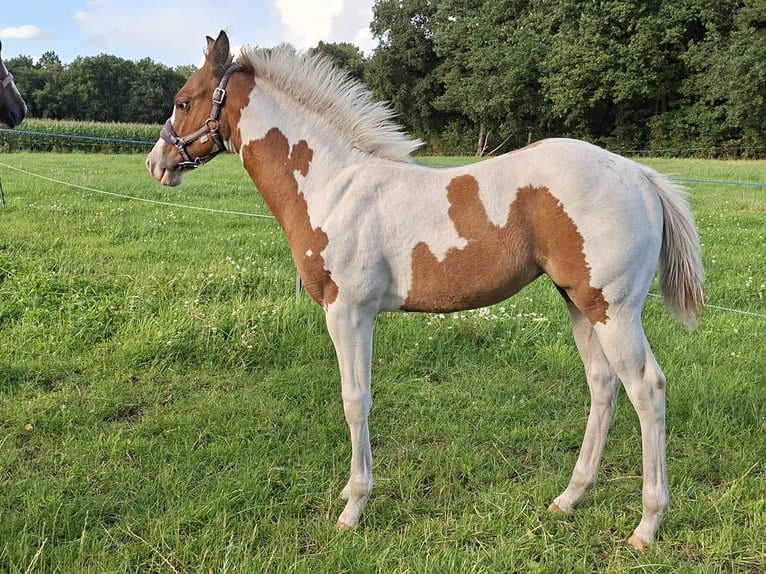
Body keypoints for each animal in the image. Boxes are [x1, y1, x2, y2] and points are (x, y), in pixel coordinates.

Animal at [146, 31, 704, 550]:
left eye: (183, 100)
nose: (157, 163)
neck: (331, 184)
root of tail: (639, 174)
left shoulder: (348, 311)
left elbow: (355, 401)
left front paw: (353, 507)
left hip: (614, 309)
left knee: (647, 389)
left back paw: (647, 526)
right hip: (581, 305)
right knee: (603, 386)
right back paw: (569, 499)